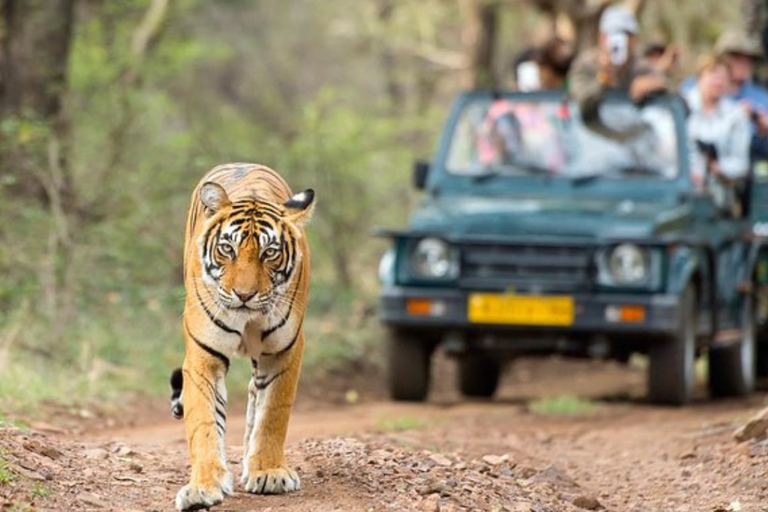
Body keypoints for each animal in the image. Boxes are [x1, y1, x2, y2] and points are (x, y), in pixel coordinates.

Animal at [171, 163, 314, 511]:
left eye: (269, 253)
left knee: (254, 395)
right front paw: (203, 487)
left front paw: (268, 472)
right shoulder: (203, 356)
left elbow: (273, 413)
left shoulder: (284, 351)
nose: (244, 295)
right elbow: (204, 422)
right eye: (227, 249)